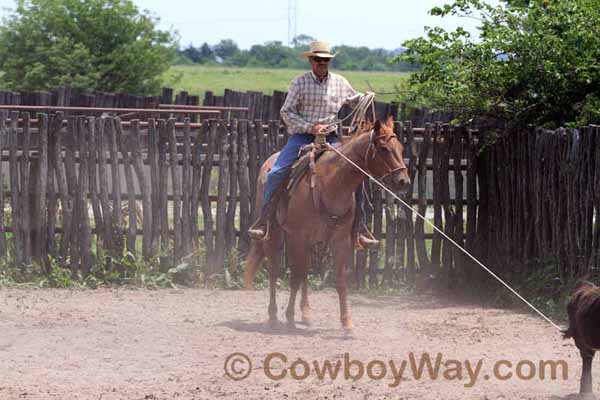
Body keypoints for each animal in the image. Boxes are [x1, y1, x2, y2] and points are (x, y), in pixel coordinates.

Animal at [241, 117, 410, 330]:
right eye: (384, 148)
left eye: (401, 148)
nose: (404, 181)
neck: (331, 184)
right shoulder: (300, 236)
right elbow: (294, 277)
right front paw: (289, 316)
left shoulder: (340, 240)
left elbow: (339, 281)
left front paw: (347, 322)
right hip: (276, 232)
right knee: (274, 269)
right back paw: (273, 315)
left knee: (304, 272)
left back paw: (306, 312)